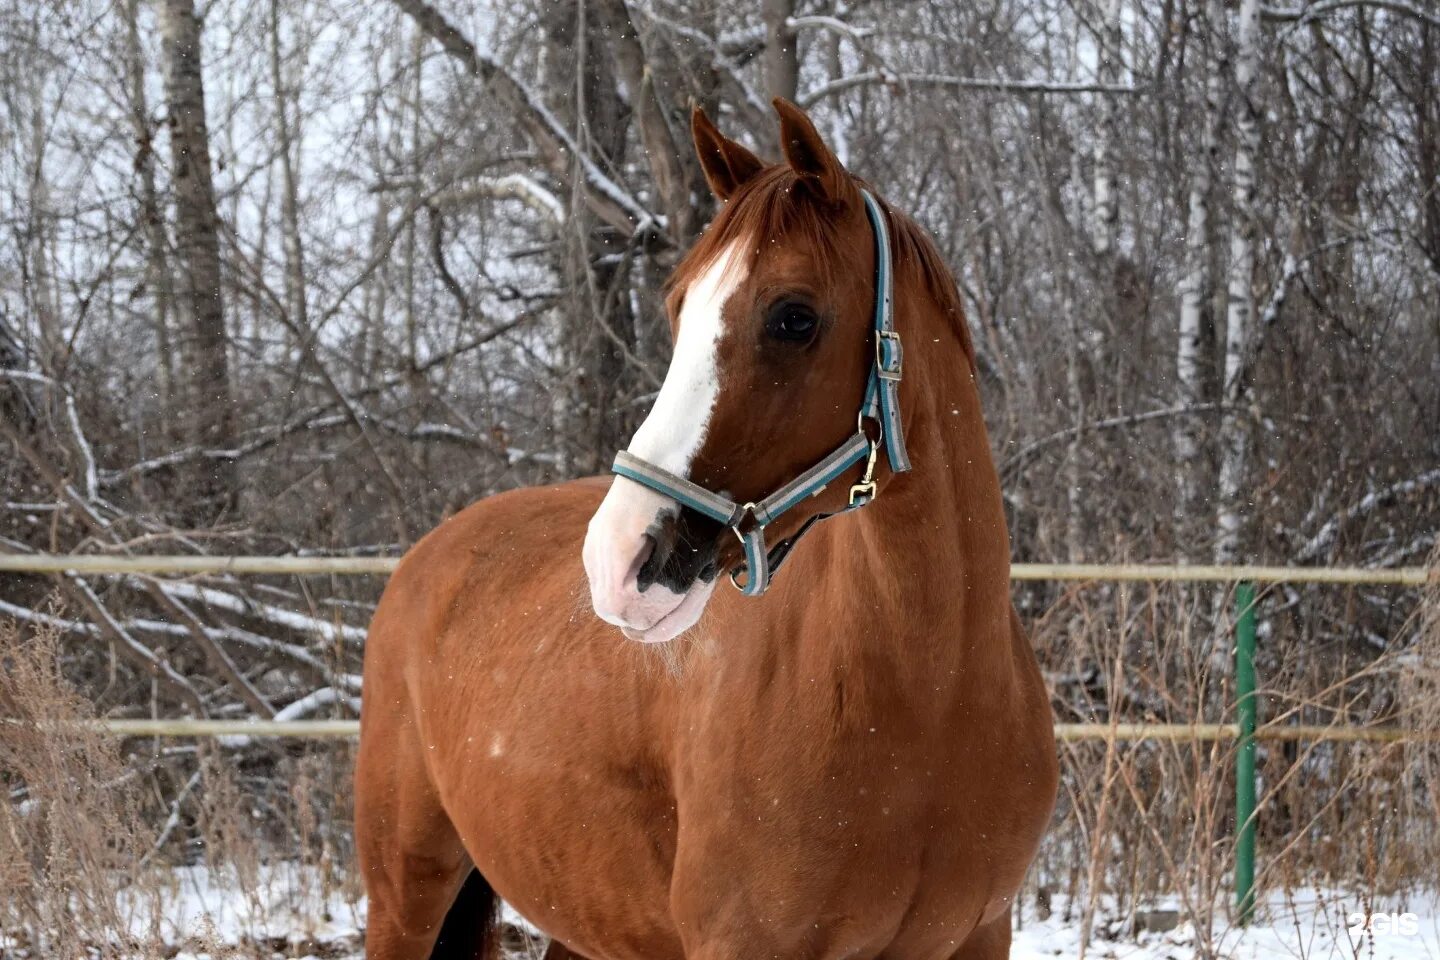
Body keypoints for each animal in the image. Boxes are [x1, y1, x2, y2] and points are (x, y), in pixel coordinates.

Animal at [357, 99, 1059, 960]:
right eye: (677, 307)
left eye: (794, 317)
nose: (619, 561)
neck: (931, 702)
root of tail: (428, 556)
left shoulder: (979, 937)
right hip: (403, 896)